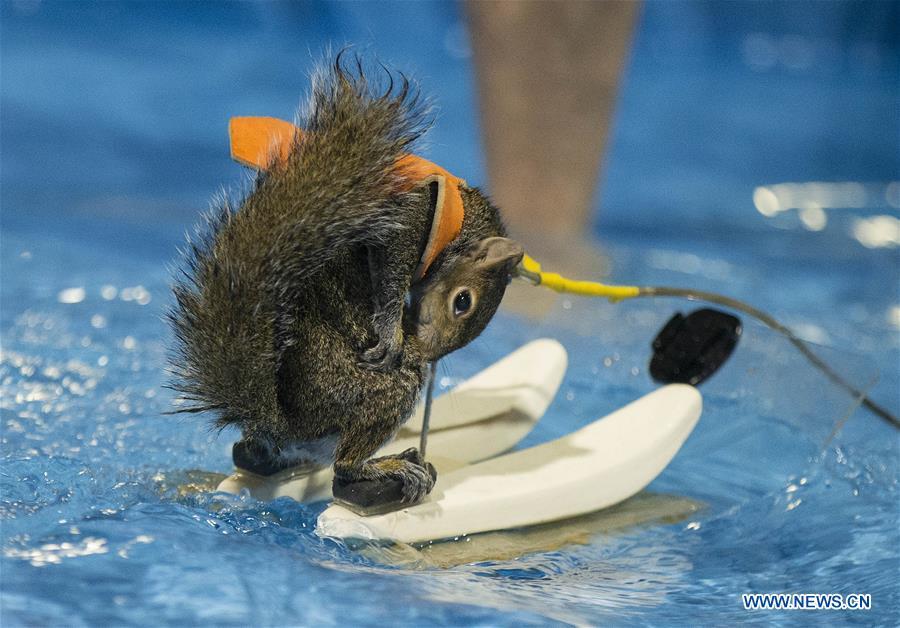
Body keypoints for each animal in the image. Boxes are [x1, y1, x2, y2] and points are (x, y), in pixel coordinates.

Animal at [168, 55, 523, 503]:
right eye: (463, 302)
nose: (425, 353)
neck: (463, 221)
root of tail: (288, 423)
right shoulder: (409, 217)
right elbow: (390, 271)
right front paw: (390, 332)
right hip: (379, 389)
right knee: (343, 468)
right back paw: (387, 466)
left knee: (261, 456)